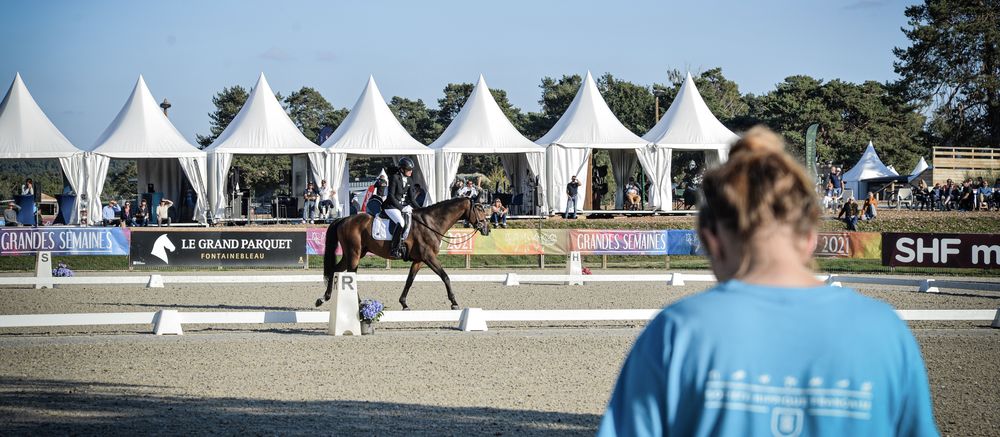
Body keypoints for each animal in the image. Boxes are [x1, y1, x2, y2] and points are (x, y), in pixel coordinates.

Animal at [316, 198, 492, 310]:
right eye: (479, 209)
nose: (487, 229)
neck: (430, 223)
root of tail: (344, 219)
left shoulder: (419, 260)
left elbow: (409, 281)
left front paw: (404, 303)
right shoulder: (429, 257)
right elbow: (445, 276)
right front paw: (454, 302)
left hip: (352, 254)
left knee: (335, 270)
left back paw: (324, 298)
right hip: (354, 254)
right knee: (350, 275)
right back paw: (358, 303)